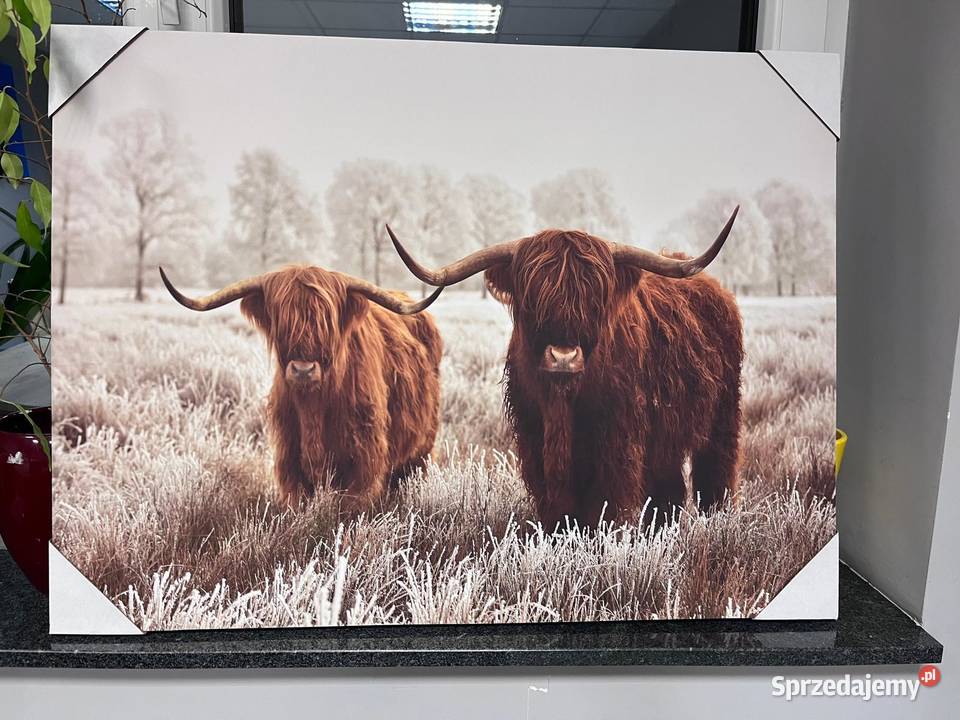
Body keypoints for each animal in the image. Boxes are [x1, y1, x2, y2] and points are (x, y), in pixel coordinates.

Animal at [159, 265, 443, 511]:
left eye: (327, 321)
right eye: (281, 320)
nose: (303, 370)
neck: (313, 407)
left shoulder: (364, 459)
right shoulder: (289, 459)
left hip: (422, 448)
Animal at [387, 208, 742, 529]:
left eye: (595, 300)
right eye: (531, 298)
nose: (563, 357)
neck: (563, 402)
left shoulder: (618, 440)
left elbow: (606, 505)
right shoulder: (533, 437)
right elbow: (556, 507)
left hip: (722, 418)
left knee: (714, 476)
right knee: (668, 490)